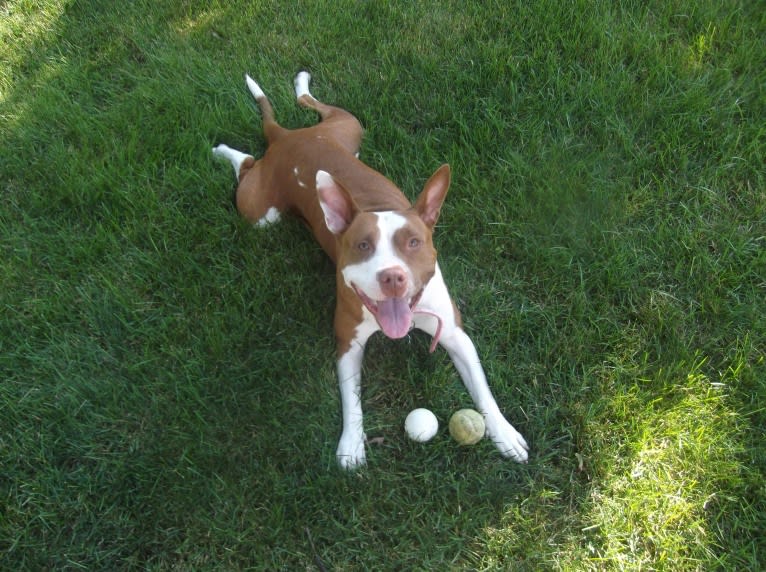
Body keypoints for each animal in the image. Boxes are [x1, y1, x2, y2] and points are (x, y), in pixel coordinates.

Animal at [213, 71, 532, 470]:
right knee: (246, 163)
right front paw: (351, 444)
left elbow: (483, 390)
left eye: (413, 242)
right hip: (259, 213)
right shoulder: (348, 344)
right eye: (362, 246)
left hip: (349, 131)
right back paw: (223, 149)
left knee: (307, 108)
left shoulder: (455, 335)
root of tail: (286, 138)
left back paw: (300, 86)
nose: (392, 276)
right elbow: (352, 402)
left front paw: (504, 433)